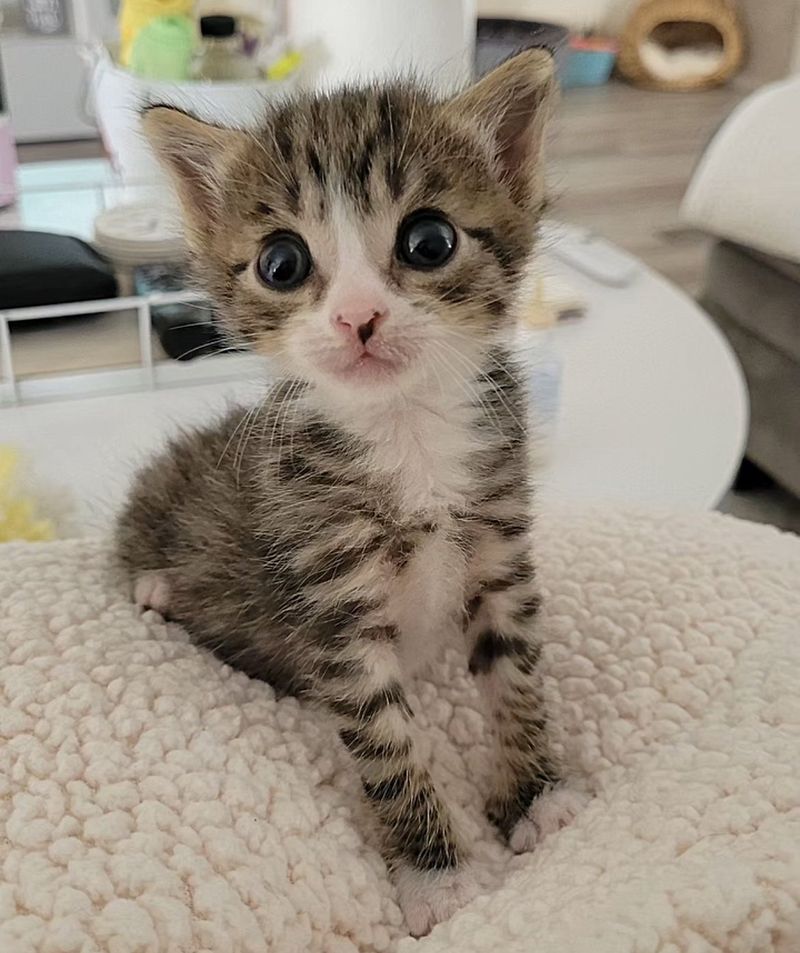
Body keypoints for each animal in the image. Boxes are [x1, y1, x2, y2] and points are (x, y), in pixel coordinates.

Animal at [115, 48, 584, 932]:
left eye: (429, 240)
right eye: (282, 262)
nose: (358, 317)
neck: (405, 434)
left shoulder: (499, 544)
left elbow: (516, 679)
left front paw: (536, 792)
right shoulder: (331, 601)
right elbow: (389, 748)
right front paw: (437, 872)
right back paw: (156, 584)